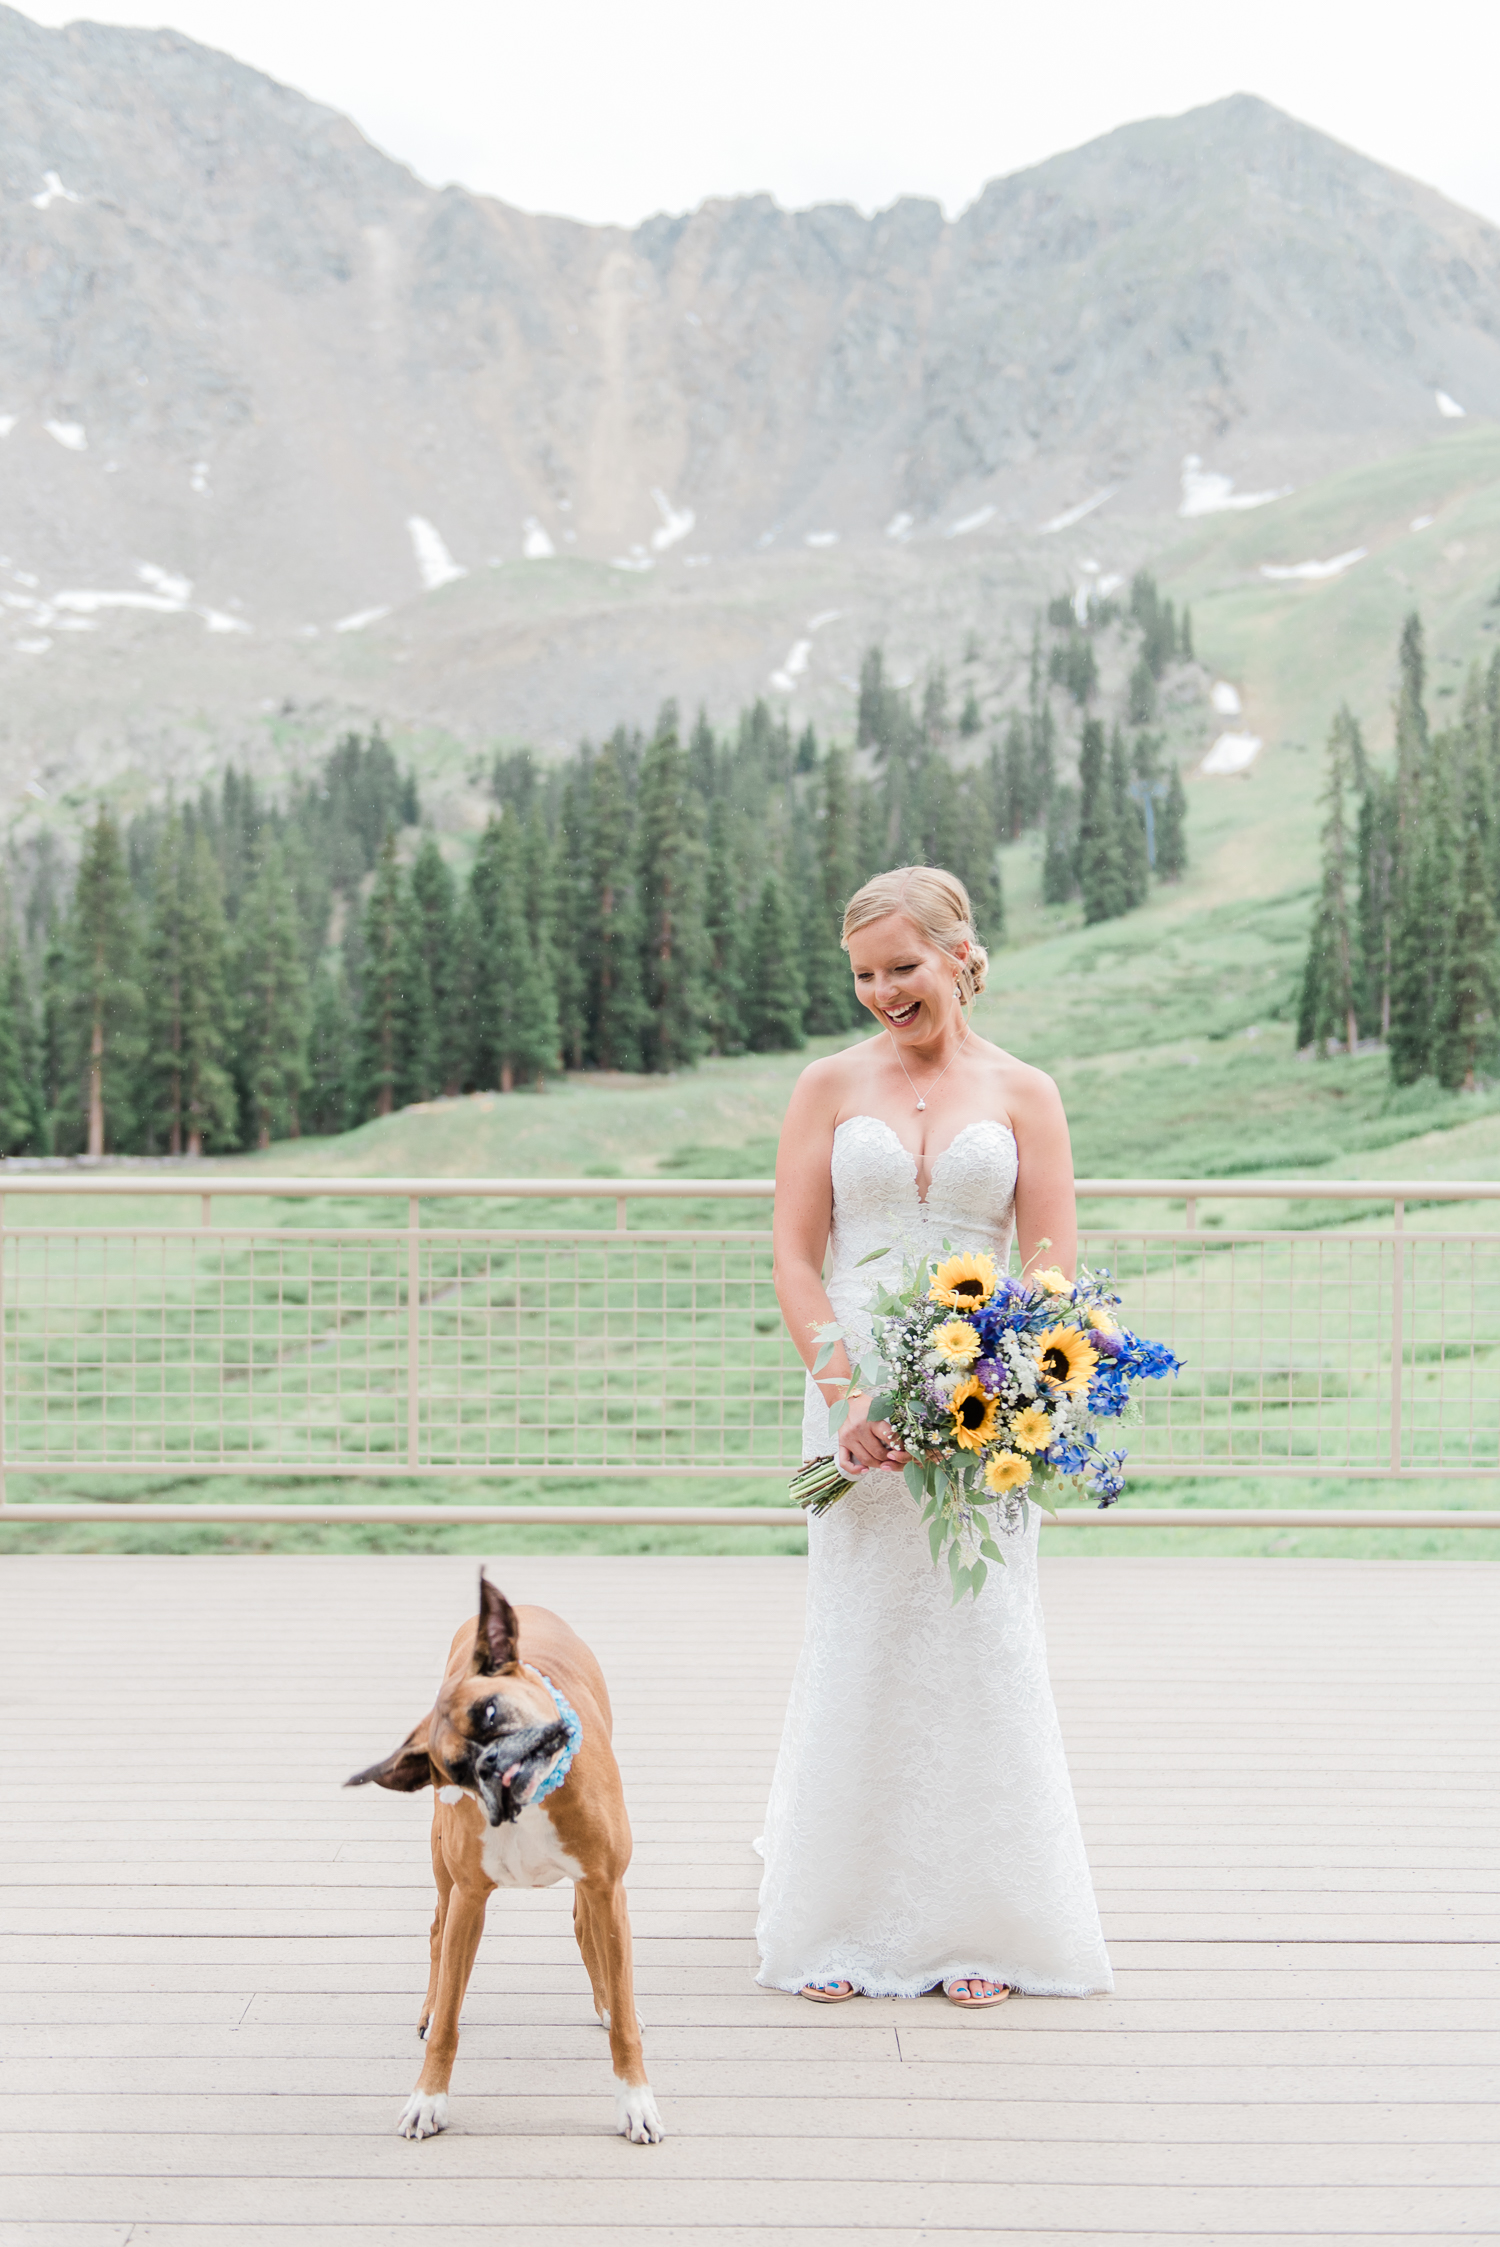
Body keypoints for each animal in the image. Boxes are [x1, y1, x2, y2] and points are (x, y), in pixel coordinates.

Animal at [348, 1572, 664, 2148]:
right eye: (454, 1768)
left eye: (491, 1712)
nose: (492, 1763)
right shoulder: (470, 1899)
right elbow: (448, 2024)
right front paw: (427, 2100)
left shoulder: (607, 1886)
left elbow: (625, 2022)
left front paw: (635, 2102)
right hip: (443, 1871)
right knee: (437, 1929)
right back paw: (431, 2006)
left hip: (592, 1888)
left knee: (586, 1929)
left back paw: (611, 2004)